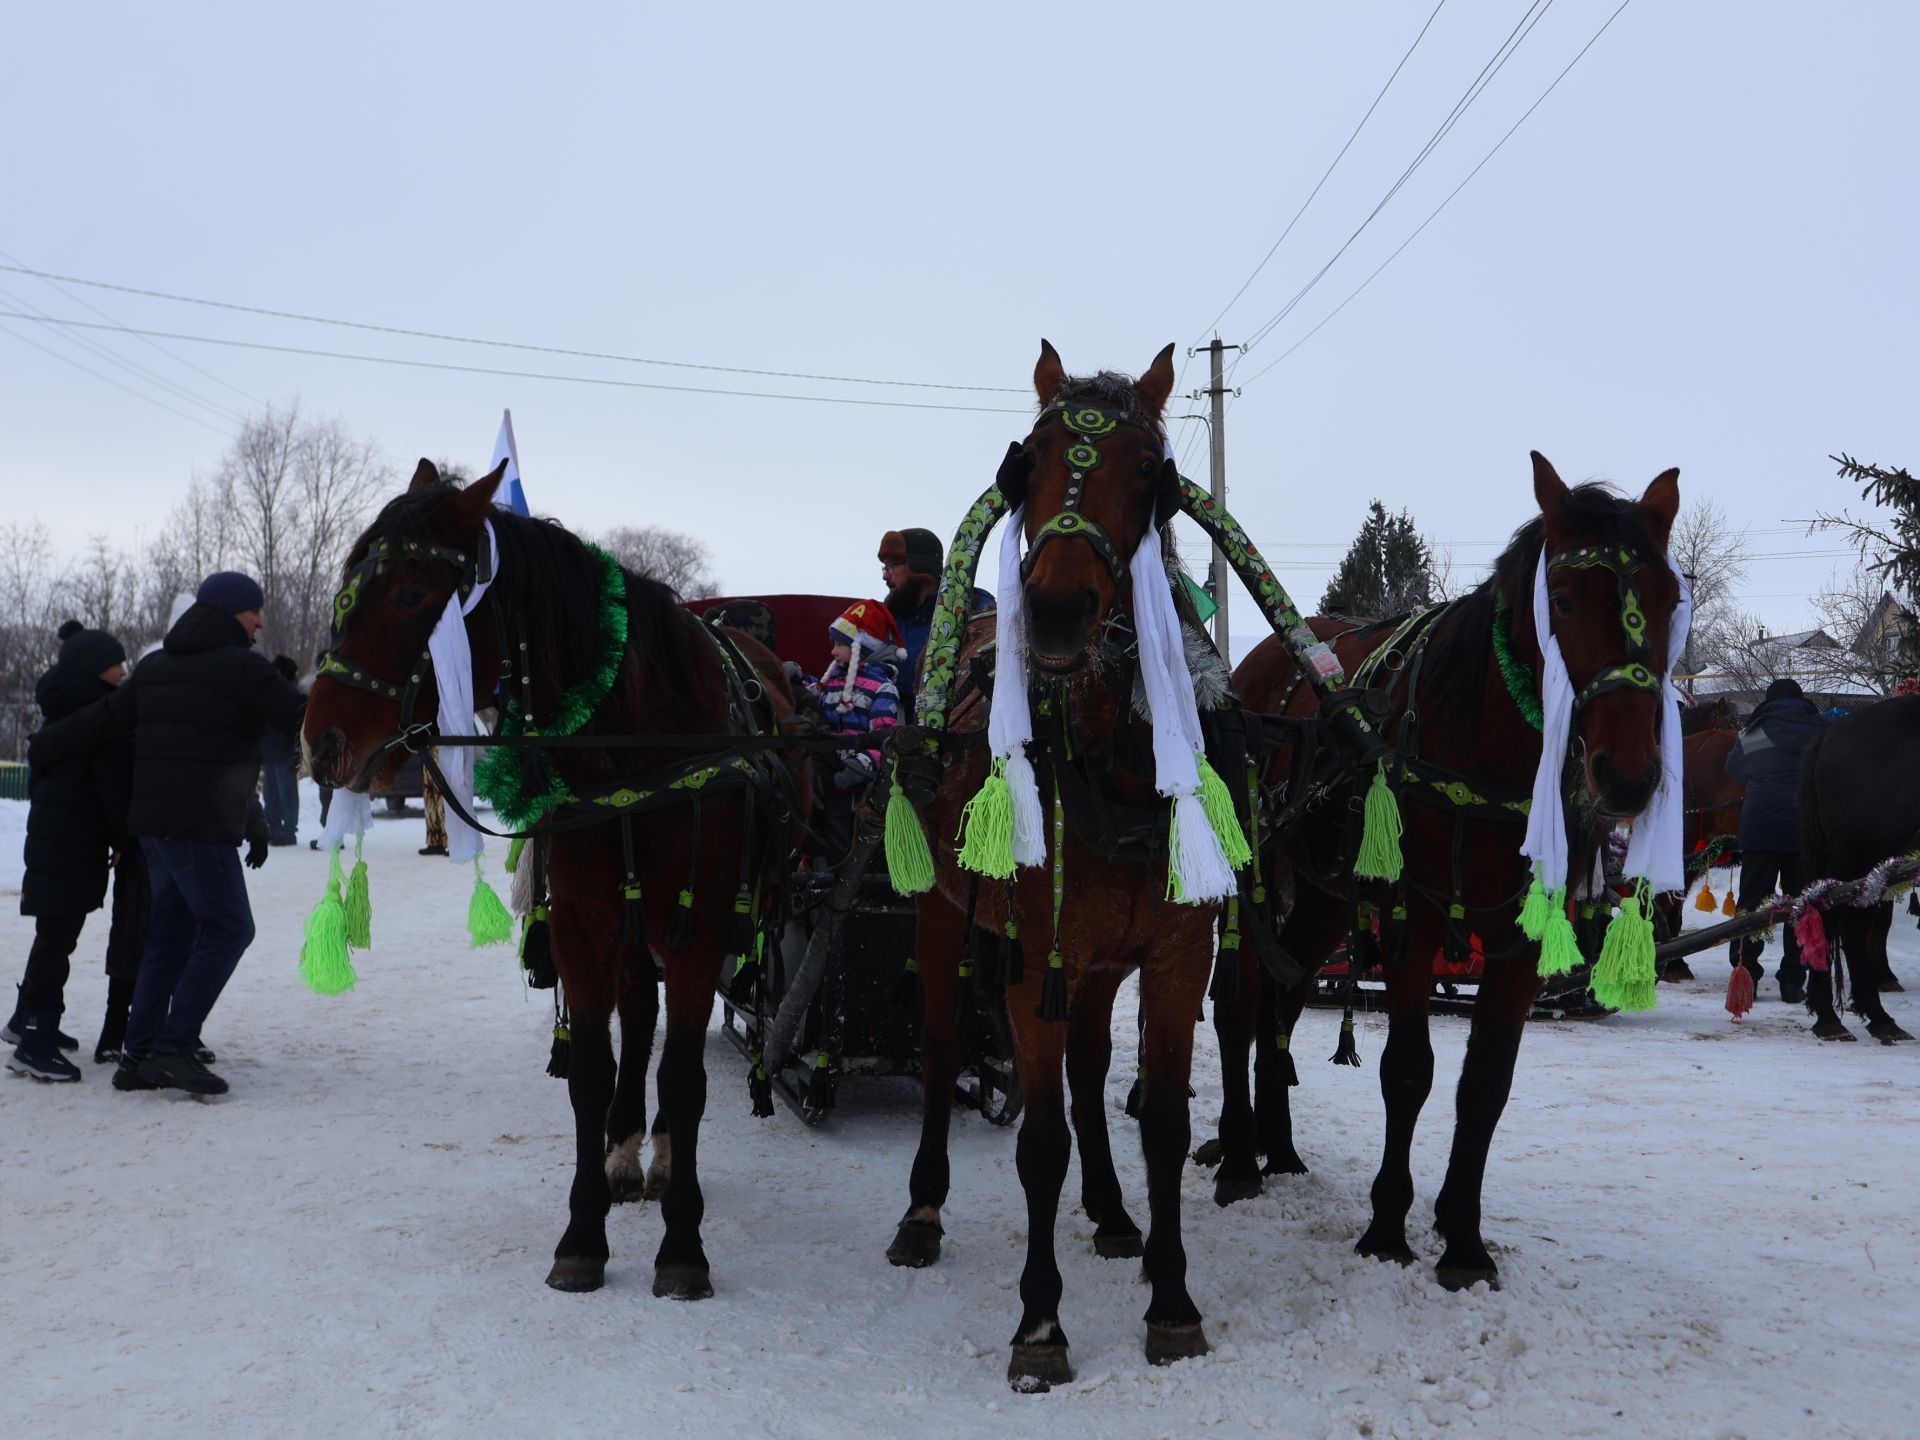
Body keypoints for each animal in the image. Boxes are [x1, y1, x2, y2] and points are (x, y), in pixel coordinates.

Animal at [890, 343, 1221, 1390]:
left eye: (1149, 473)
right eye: (1024, 466)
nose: (1059, 611)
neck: (1111, 765)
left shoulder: (1174, 956)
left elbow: (1161, 1123)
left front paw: (1173, 1298)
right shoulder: (1032, 952)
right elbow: (1039, 1143)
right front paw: (1041, 1324)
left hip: (1096, 964)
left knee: (1087, 1067)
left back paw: (1114, 1213)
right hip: (944, 919)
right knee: (942, 1046)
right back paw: (921, 1210)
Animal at [1213, 458, 1681, 1297]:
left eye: (1668, 600)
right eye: (1564, 600)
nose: (1628, 777)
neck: (1486, 742)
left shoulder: (1522, 939)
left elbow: (1485, 1086)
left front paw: (1462, 1238)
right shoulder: (1414, 919)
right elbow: (1408, 1071)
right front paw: (1387, 1226)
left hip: (1325, 899)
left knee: (1283, 1000)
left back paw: (1281, 1147)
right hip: (1258, 872)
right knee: (1238, 1004)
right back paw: (1237, 1154)